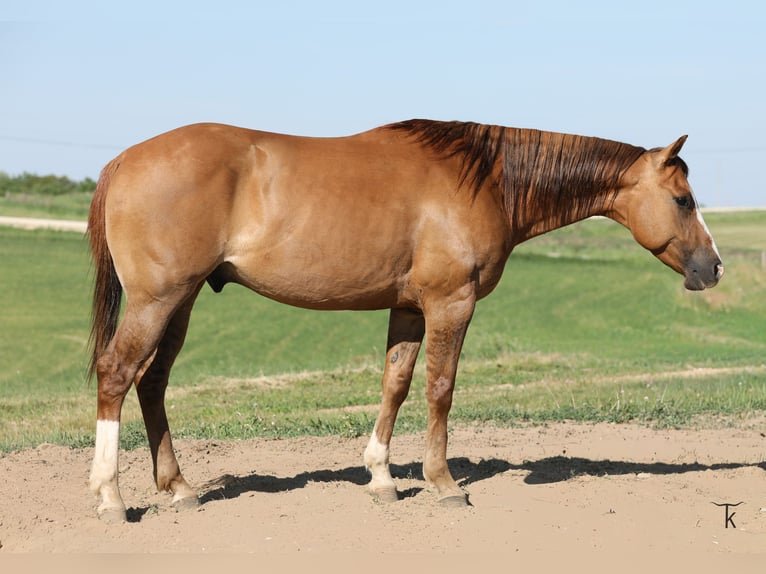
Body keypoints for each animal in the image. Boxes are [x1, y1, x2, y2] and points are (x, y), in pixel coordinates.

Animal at [86, 119, 723, 521]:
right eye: (684, 200)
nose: (713, 268)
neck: (486, 179)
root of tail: (122, 160)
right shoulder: (450, 303)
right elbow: (440, 388)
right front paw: (443, 483)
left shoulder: (409, 308)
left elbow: (395, 383)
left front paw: (382, 478)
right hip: (158, 299)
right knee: (116, 374)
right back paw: (110, 496)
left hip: (182, 301)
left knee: (153, 383)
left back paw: (178, 489)